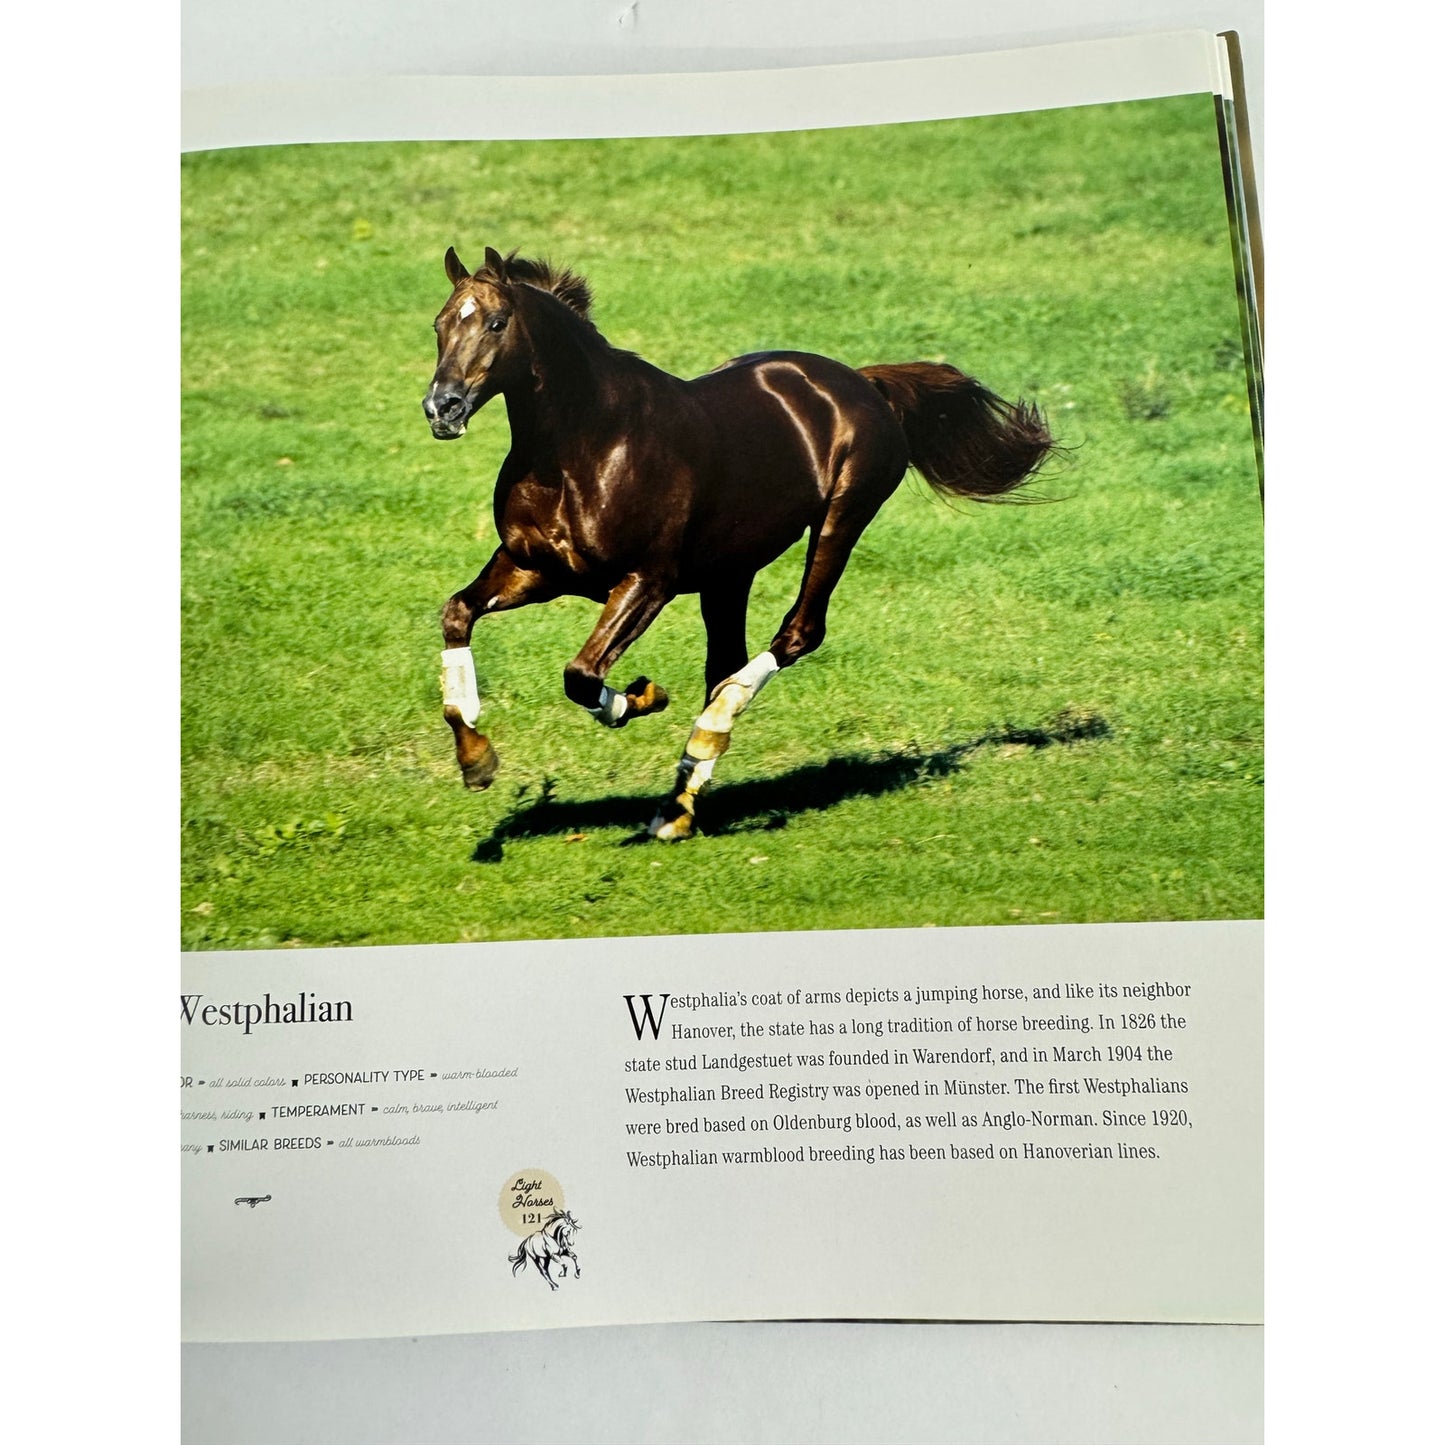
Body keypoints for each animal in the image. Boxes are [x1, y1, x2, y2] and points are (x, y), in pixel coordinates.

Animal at [424, 246, 1057, 839]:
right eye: (439, 324)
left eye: (496, 323)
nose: (442, 407)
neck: (585, 445)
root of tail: (862, 382)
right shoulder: (535, 569)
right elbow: (457, 614)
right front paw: (476, 760)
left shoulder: (646, 581)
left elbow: (582, 675)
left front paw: (643, 696)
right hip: (730, 574)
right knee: (724, 664)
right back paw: (678, 807)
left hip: (841, 521)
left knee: (795, 636)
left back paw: (705, 742)